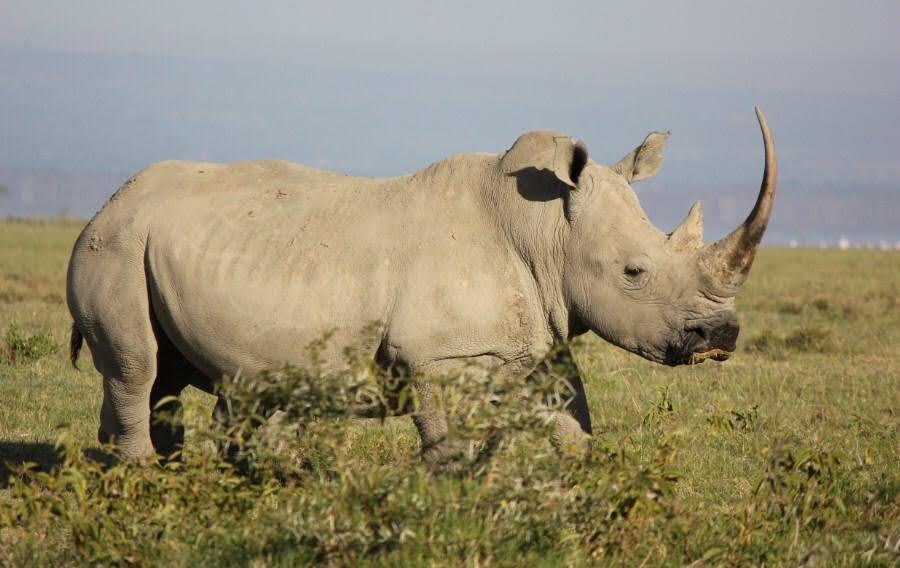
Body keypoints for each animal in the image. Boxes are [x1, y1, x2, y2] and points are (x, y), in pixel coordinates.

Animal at [67, 108, 776, 464]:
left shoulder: (534, 344)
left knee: (177, 377)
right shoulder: (440, 356)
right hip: (115, 245)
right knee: (137, 368)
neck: (547, 232)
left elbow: (574, 432)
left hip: (146, 243)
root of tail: (106, 205)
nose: (722, 335)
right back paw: (145, 481)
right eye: (635, 272)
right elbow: (449, 448)